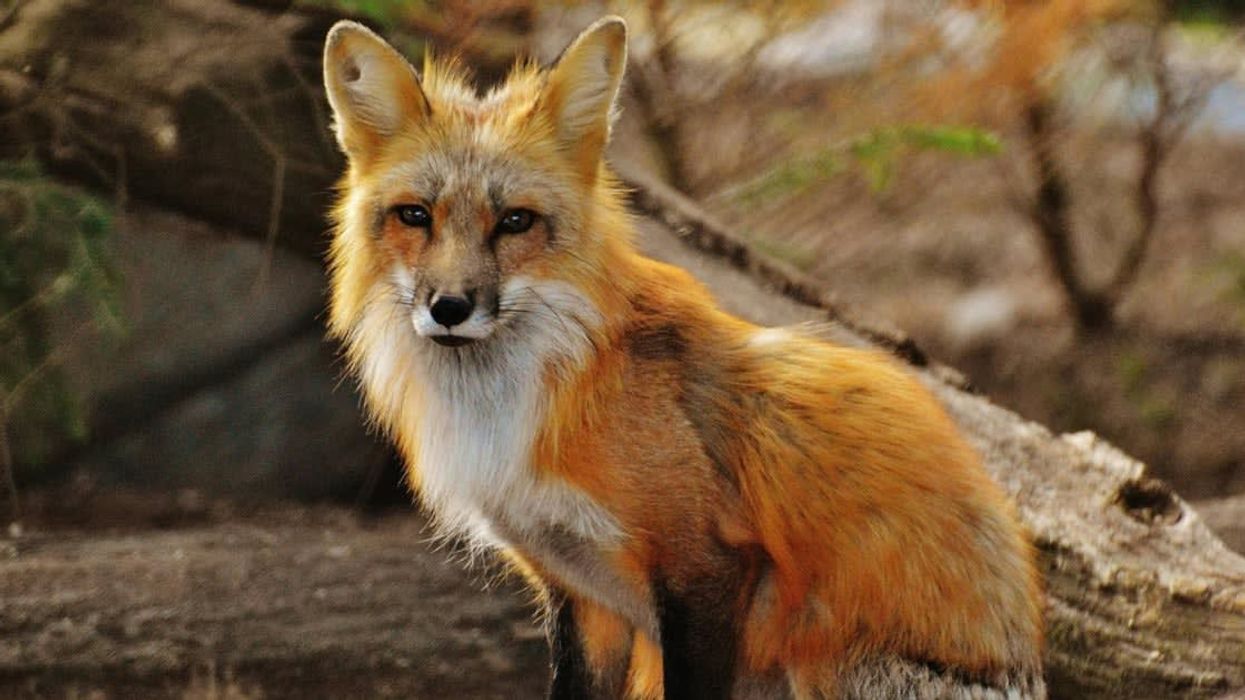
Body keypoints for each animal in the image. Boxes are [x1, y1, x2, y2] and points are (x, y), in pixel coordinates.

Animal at [321, 15, 1044, 700]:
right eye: (415, 216)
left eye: (516, 222)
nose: (449, 307)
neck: (521, 401)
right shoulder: (581, 595)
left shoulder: (706, 569)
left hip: (821, 661)